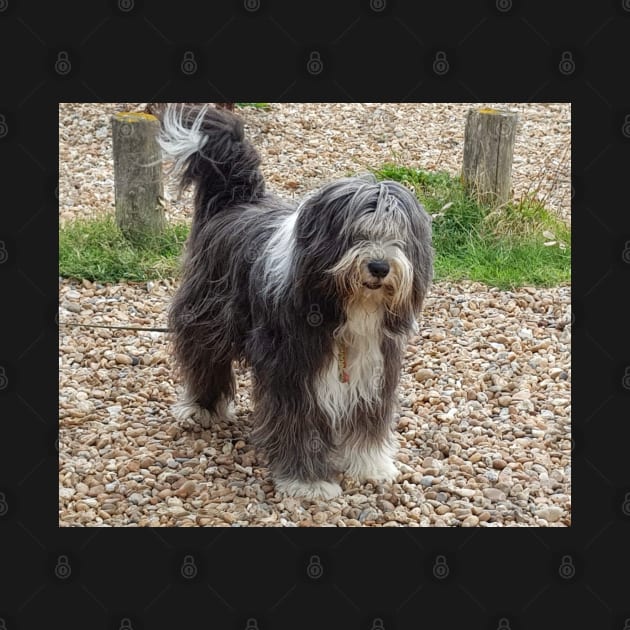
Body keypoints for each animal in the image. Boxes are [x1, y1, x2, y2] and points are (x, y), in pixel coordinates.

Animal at [159, 105, 434, 498]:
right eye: (355, 235)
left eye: (399, 237)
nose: (380, 267)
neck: (348, 307)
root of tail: (237, 200)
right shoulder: (293, 370)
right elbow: (299, 425)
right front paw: (309, 481)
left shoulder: (376, 366)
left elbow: (368, 419)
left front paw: (370, 465)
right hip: (208, 317)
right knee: (204, 358)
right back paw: (203, 408)